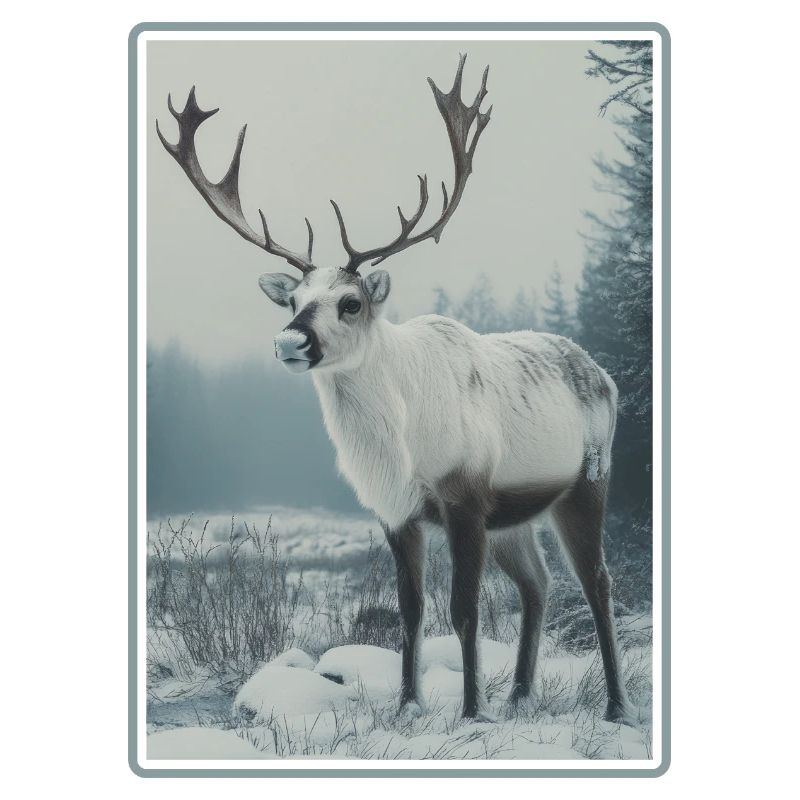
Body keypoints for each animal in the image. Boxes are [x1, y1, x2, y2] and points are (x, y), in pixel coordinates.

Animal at [157, 55, 634, 724]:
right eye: (294, 300)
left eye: (350, 302)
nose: (289, 341)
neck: (400, 450)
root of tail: (604, 374)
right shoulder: (396, 512)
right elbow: (410, 612)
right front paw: (409, 705)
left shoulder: (465, 497)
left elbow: (463, 609)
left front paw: (469, 712)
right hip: (515, 516)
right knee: (537, 584)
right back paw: (519, 694)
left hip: (587, 480)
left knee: (598, 582)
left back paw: (615, 706)